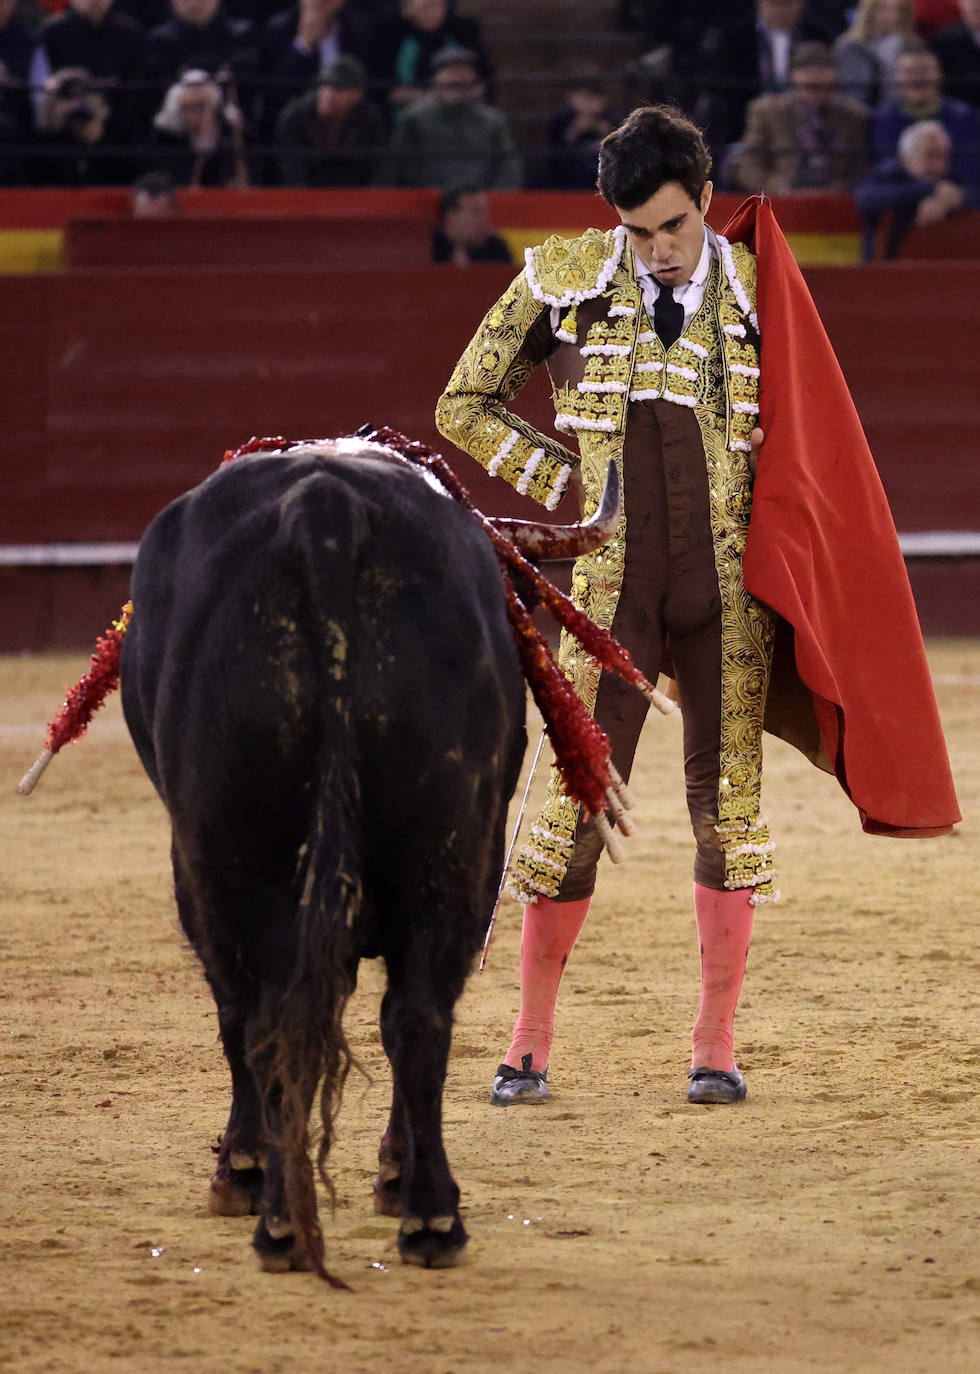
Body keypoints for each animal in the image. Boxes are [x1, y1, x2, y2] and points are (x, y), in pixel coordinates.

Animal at [118, 436, 610, 1275]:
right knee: (416, 1017)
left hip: (223, 861)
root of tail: (328, 508)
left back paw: (294, 1213)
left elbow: (240, 1018)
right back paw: (426, 1215)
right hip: (455, 846)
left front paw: (240, 1167)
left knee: (268, 1015)